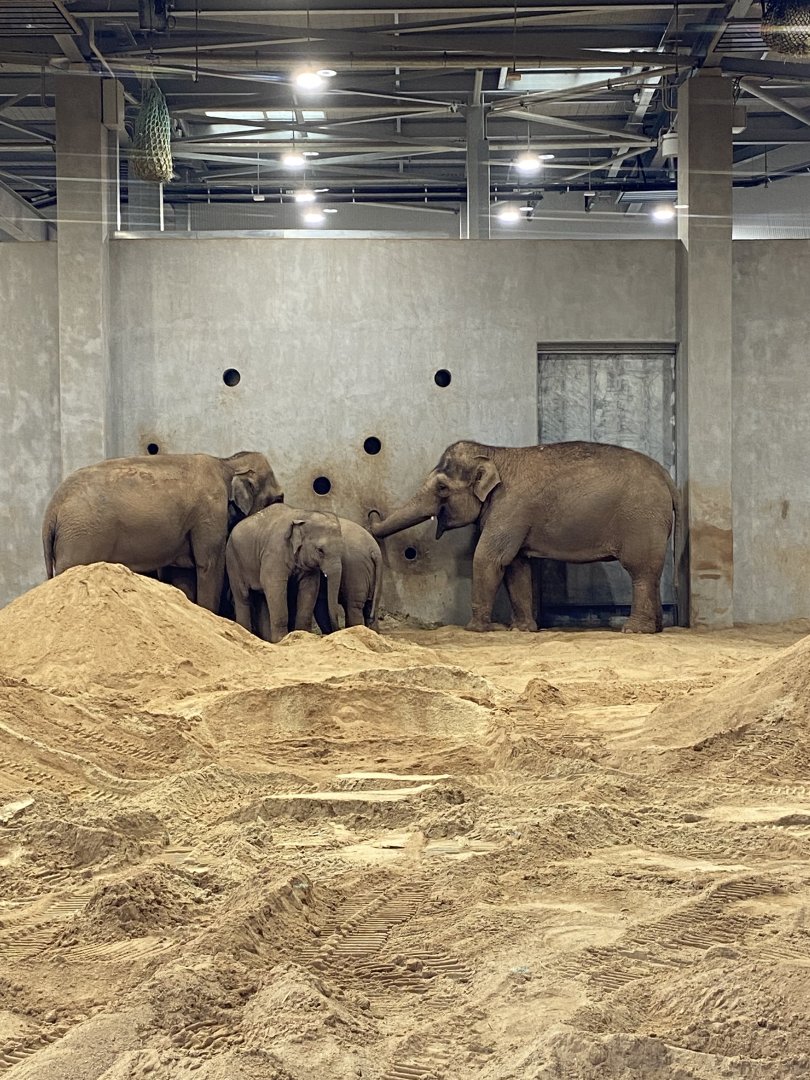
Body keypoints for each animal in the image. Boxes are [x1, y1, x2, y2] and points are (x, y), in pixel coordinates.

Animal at [42, 451, 284, 612]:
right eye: (278, 498)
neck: (226, 463)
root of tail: (52, 509)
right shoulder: (210, 512)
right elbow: (209, 565)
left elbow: (182, 574)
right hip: (81, 537)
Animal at [225, 503, 344, 643]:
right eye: (320, 550)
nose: (337, 629)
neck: (303, 514)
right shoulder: (274, 551)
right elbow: (273, 584)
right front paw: (281, 640)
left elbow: (310, 587)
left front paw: (302, 635)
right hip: (233, 560)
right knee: (243, 597)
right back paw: (248, 632)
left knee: (262, 598)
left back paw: (267, 640)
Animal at [369, 440, 681, 635]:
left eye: (442, 487)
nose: (372, 514)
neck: (494, 454)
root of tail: (668, 478)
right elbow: (516, 565)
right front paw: (521, 629)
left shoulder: (509, 506)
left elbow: (489, 558)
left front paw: (476, 629)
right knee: (651, 573)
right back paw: (655, 629)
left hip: (642, 520)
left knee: (640, 571)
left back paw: (634, 630)